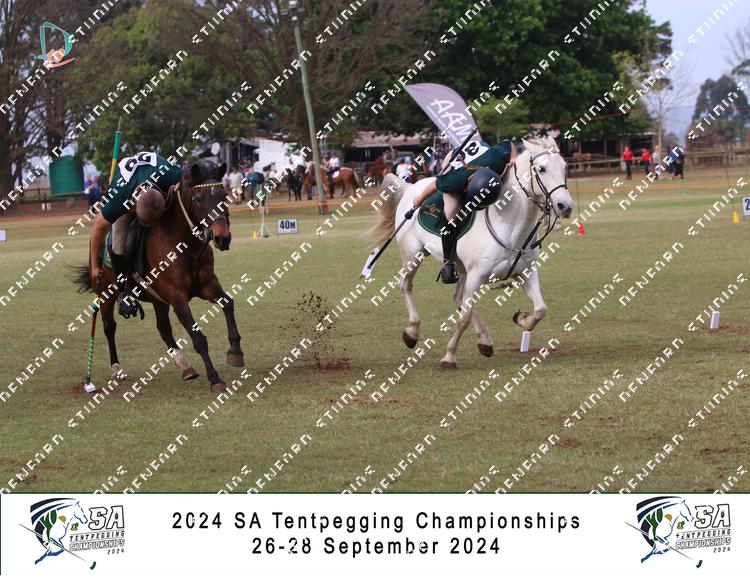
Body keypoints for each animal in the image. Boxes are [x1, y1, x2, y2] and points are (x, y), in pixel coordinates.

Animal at [73, 159, 244, 392]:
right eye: (199, 199)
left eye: (224, 194)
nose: (222, 238)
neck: (182, 244)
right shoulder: (177, 297)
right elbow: (197, 336)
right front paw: (215, 378)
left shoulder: (207, 285)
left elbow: (227, 303)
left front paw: (235, 352)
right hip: (107, 293)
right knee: (109, 327)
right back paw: (116, 368)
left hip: (158, 300)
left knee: (163, 329)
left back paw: (185, 366)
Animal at [365, 137, 574, 368]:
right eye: (541, 168)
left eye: (564, 167)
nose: (565, 206)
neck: (510, 226)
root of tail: (410, 187)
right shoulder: (476, 276)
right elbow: (463, 319)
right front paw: (449, 357)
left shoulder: (525, 272)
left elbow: (540, 309)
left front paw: (522, 318)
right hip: (413, 255)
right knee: (406, 287)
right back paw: (412, 331)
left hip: (460, 268)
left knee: (458, 297)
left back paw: (485, 341)